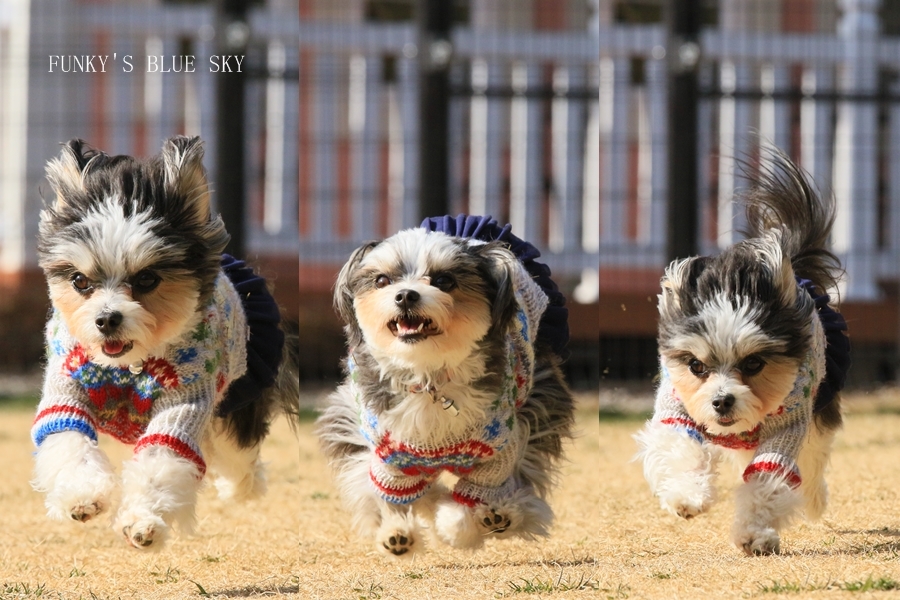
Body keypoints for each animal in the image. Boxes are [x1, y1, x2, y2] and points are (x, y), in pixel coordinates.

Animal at [30, 136, 298, 548]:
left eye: (147, 279)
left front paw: (143, 523)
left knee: (239, 458)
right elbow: (69, 438)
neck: (127, 366)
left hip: (238, 400)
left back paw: (239, 488)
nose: (106, 319)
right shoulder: (67, 387)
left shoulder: (185, 400)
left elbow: (162, 457)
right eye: (80, 281)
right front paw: (83, 496)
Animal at [314, 221, 568, 556]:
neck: (428, 376)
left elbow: (475, 493)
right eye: (382, 280)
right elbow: (391, 493)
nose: (405, 295)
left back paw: (503, 515)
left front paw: (456, 527)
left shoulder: (501, 445)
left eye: (444, 280)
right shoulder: (391, 452)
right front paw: (396, 531)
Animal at [632, 151, 852, 556]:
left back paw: (815, 501)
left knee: (813, 461)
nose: (722, 401)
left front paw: (755, 535)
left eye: (754, 363)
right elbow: (680, 447)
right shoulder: (678, 410)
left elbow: (769, 479)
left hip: (819, 408)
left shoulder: (789, 425)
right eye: (696, 365)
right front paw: (687, 497)